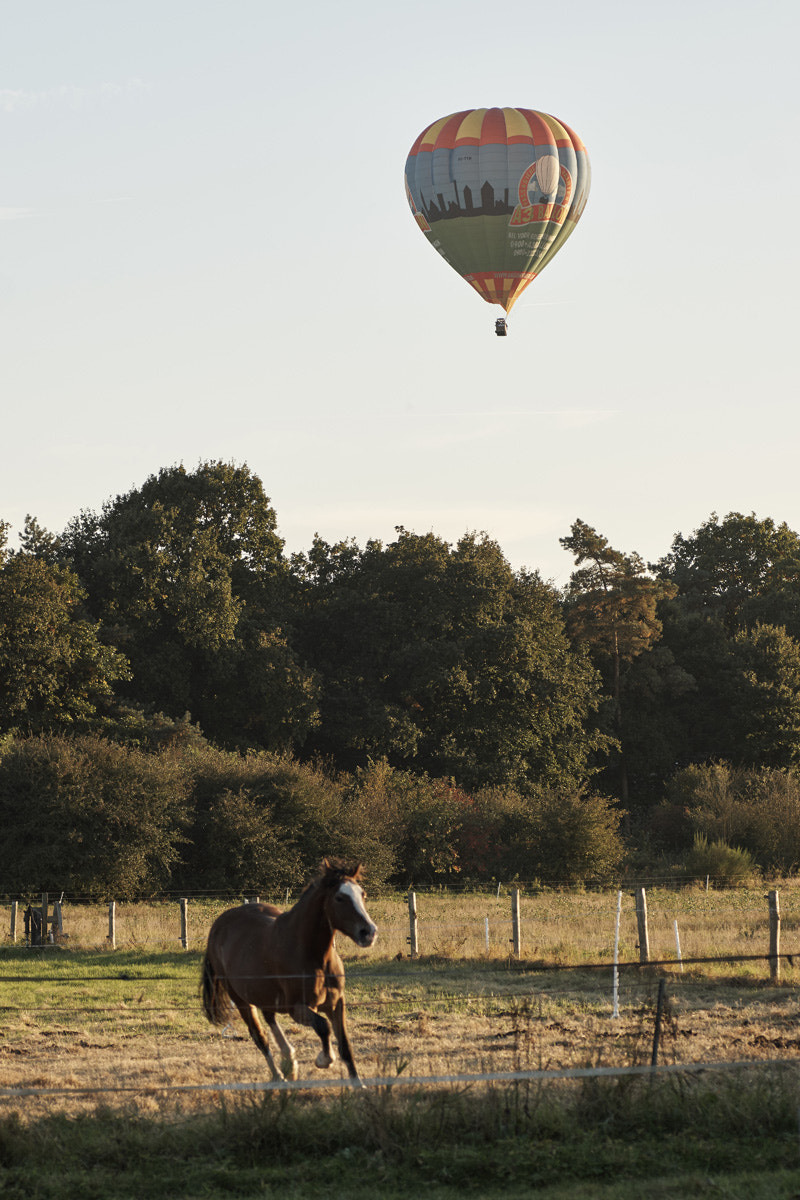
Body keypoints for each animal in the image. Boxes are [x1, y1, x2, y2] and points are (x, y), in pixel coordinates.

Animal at [200, 859, 376, 1084]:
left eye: (362, 894)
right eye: (339, 897)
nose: (369, 932)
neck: (315, 957)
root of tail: (218, 926)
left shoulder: (336, 1003)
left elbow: (345, 1045)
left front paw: (359, 1085)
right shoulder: (297, 1008)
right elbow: (323, 1026)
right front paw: (323, 1060)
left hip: (263, 994)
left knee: (269, 1019)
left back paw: (289, 1063)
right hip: (241, 1000)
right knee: (259, 1036)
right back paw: (279, 1076)